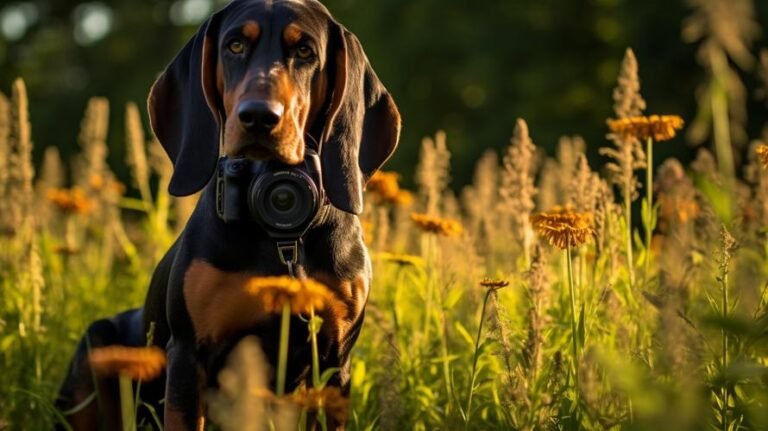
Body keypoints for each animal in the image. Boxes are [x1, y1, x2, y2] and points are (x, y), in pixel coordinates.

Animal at [55, 0, 402, 428]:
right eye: (235, 45)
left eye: (305, 51)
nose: (258, 116)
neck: (282, 234)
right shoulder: (189, 356)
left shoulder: (335, 365)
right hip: (95, 349)